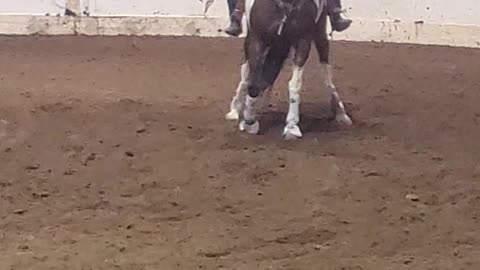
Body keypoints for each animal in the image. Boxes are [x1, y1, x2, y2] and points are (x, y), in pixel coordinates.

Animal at [225, 0, 352, 139]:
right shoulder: (256, 40)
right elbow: (253, 82)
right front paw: (249, 120)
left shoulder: (303, 40)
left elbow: (294, 84)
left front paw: (291, 126)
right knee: (248, 74)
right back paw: (236, 109)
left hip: (318, 34)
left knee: (326, 74)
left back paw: (341, 113)